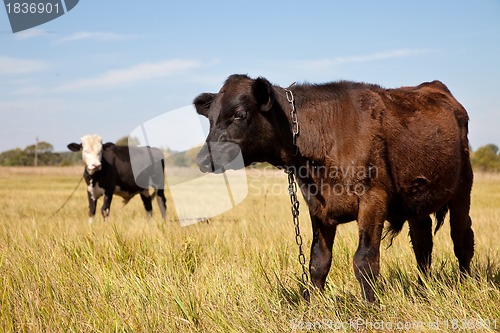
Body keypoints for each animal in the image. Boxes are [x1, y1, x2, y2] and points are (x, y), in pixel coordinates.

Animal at [193, 74, 474, 300]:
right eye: (211, 119)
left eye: (239, 114)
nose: (203, 159)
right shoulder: (318, 207)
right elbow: (318, 261)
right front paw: (313, 306)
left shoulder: (373, 199)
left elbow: (364, 259)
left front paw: (371, 307)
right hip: (417, 199)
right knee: (423, 243)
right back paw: (424, 288)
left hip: (463, 188)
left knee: (462, 238)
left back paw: (466, 284)